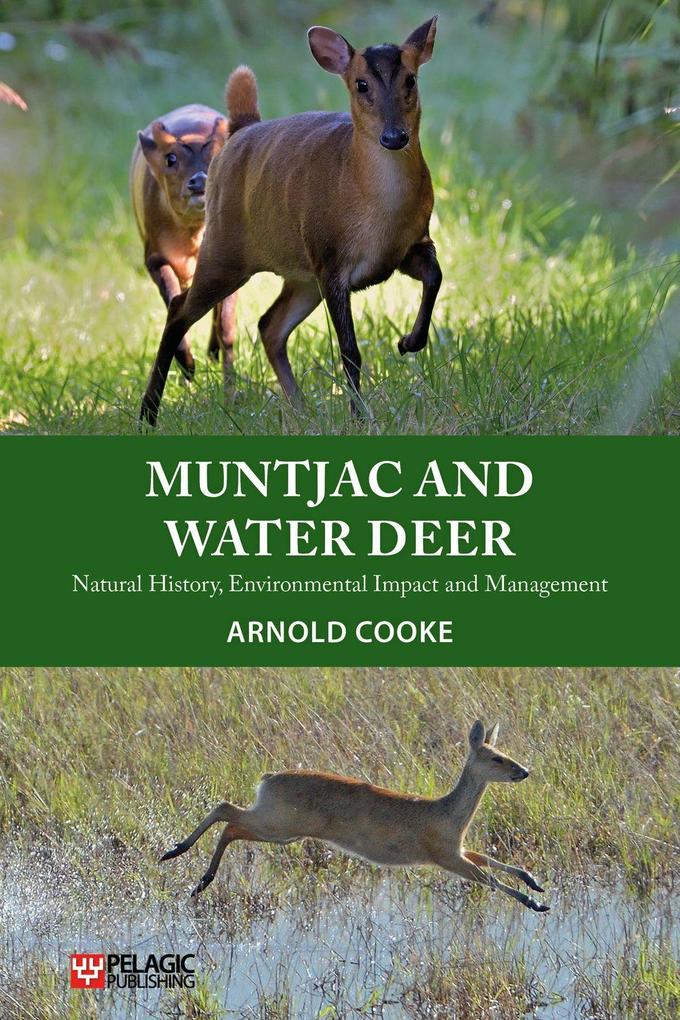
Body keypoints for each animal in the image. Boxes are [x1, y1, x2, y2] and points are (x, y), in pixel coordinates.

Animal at [130, 91, 243, 389]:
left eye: (217, 154)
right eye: (170, 158)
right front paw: (188, 366)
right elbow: (173, 301)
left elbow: (227, 325)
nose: (199, 181)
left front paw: (232, 387)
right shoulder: (154, 256)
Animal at [160, 720, 549, 913]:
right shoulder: (446, 857)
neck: (448, 812)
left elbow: (495, 863)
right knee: (227, 814)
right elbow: (490, 878)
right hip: (278, 825)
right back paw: (183, 861)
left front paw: (534, 882)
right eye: (496, 757)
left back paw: (192, 871)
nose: (524, 771)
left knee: (228, 817)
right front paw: (536, 903)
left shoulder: (459, 850)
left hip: (279, 827)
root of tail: (267, 778)